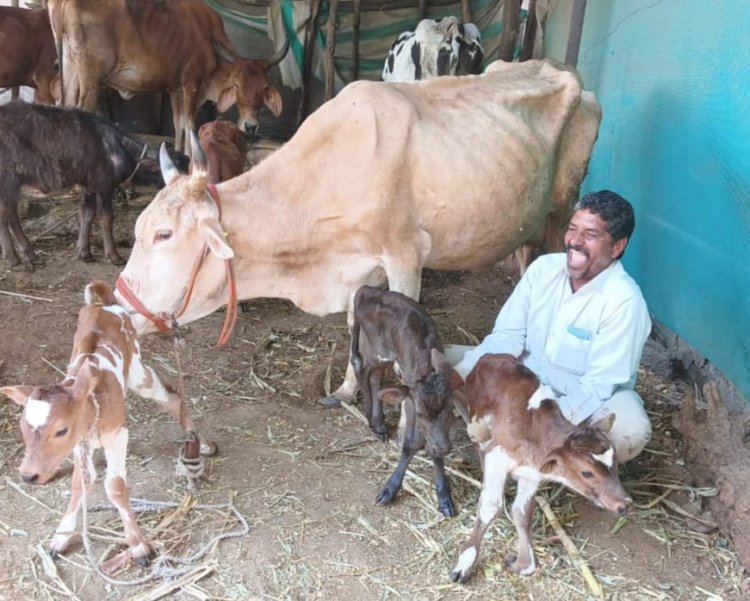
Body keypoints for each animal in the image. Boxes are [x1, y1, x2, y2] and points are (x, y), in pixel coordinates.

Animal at [352, 284, 458, 516]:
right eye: (419, 413)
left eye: (450, 411)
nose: (444, 447)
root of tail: (367, 289)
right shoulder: (410, 401)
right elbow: (411, 443)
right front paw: (390, 489)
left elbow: (432, 446)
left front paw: (444, 497)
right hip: (373, 349)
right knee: (361, 368)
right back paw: (370, 417)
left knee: (375, 378)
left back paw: (379, 423)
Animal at [452, 352, 636, 580]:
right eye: (587, 472)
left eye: (616, 465)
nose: (625, 504)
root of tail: (493, 355)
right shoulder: (498, 454)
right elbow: (490, 505)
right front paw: (465, 562)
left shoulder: (531, 474)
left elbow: (522, 512)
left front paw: (522, 563)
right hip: (477, 423)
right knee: (478, 442)